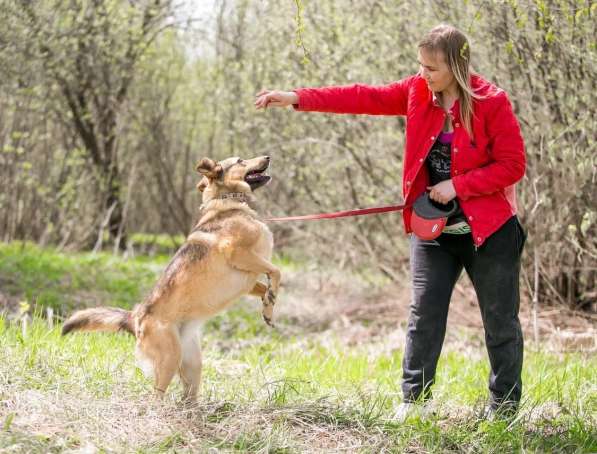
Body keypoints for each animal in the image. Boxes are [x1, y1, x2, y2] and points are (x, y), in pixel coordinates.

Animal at [61, 155, 280, 400]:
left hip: (193, 364)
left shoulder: (248, 280)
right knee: (155, 396)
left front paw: (268, 308)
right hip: (169, 360)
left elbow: (266, 285)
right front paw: (271, 298)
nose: (268, 156)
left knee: (188, 396)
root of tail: (135, 317)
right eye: (240, 160)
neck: (229, 202)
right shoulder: (236, 253)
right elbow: (276, 272)